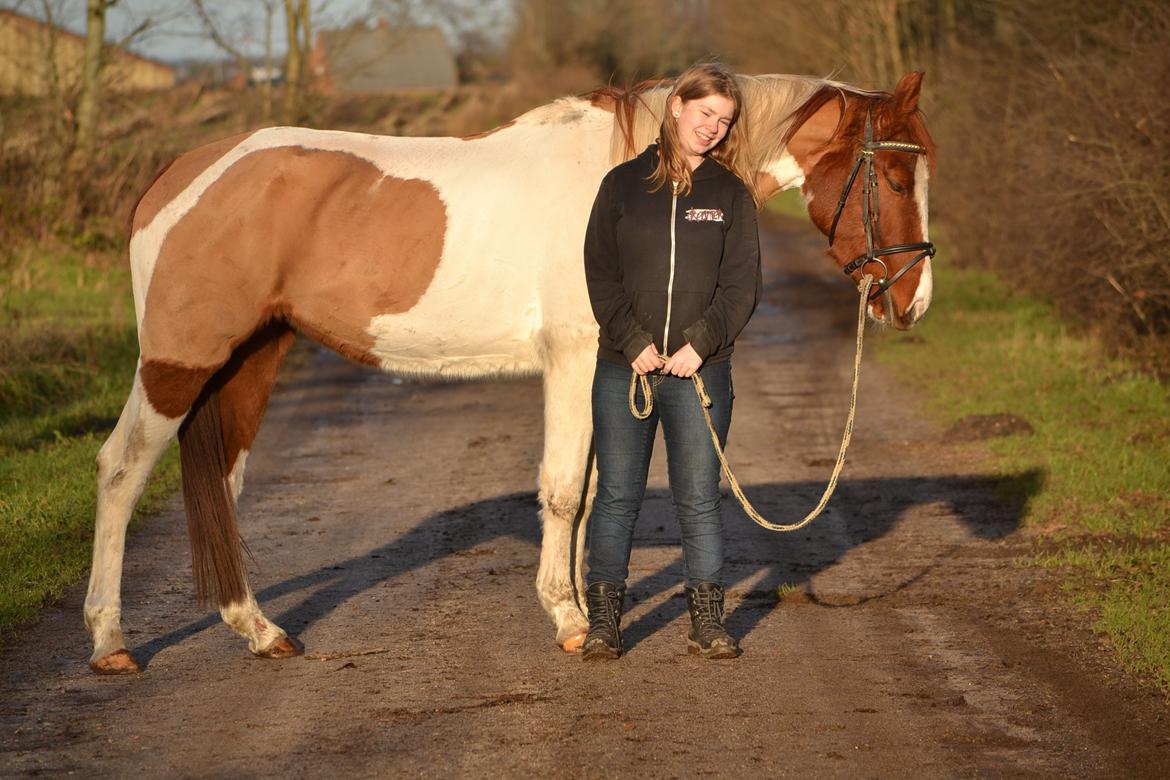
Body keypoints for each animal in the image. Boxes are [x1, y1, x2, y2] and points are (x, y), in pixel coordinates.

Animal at [84, 70, 940, 673]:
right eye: (897, 181)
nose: (913, 302)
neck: (634, 175)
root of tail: (179, 176)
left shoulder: (604, 370)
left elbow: (591, 492)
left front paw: (586, 609)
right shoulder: (574, 357)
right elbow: (562, 489)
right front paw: (570, 622)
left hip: (253, 358)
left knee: (222, 483)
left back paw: (260, 632)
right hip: (180, 360)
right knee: (121, 470)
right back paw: (110, 641)